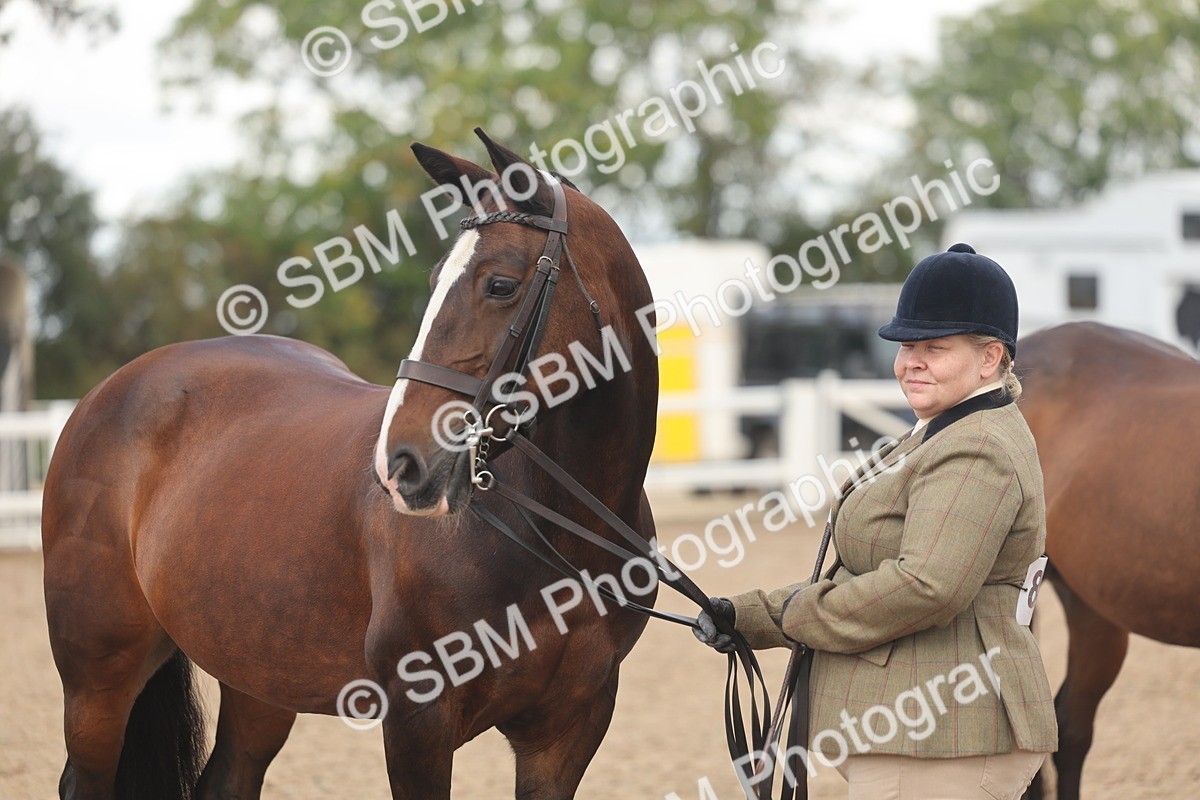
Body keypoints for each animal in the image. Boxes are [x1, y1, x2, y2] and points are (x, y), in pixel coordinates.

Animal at [41, 129, 662, 800]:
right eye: (436, 278)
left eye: (500, 284)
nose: (400, 463)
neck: (560, 533)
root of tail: (111, 389)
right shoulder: (418, 719)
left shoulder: (568, 729)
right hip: (98, 681)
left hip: (259, 674)